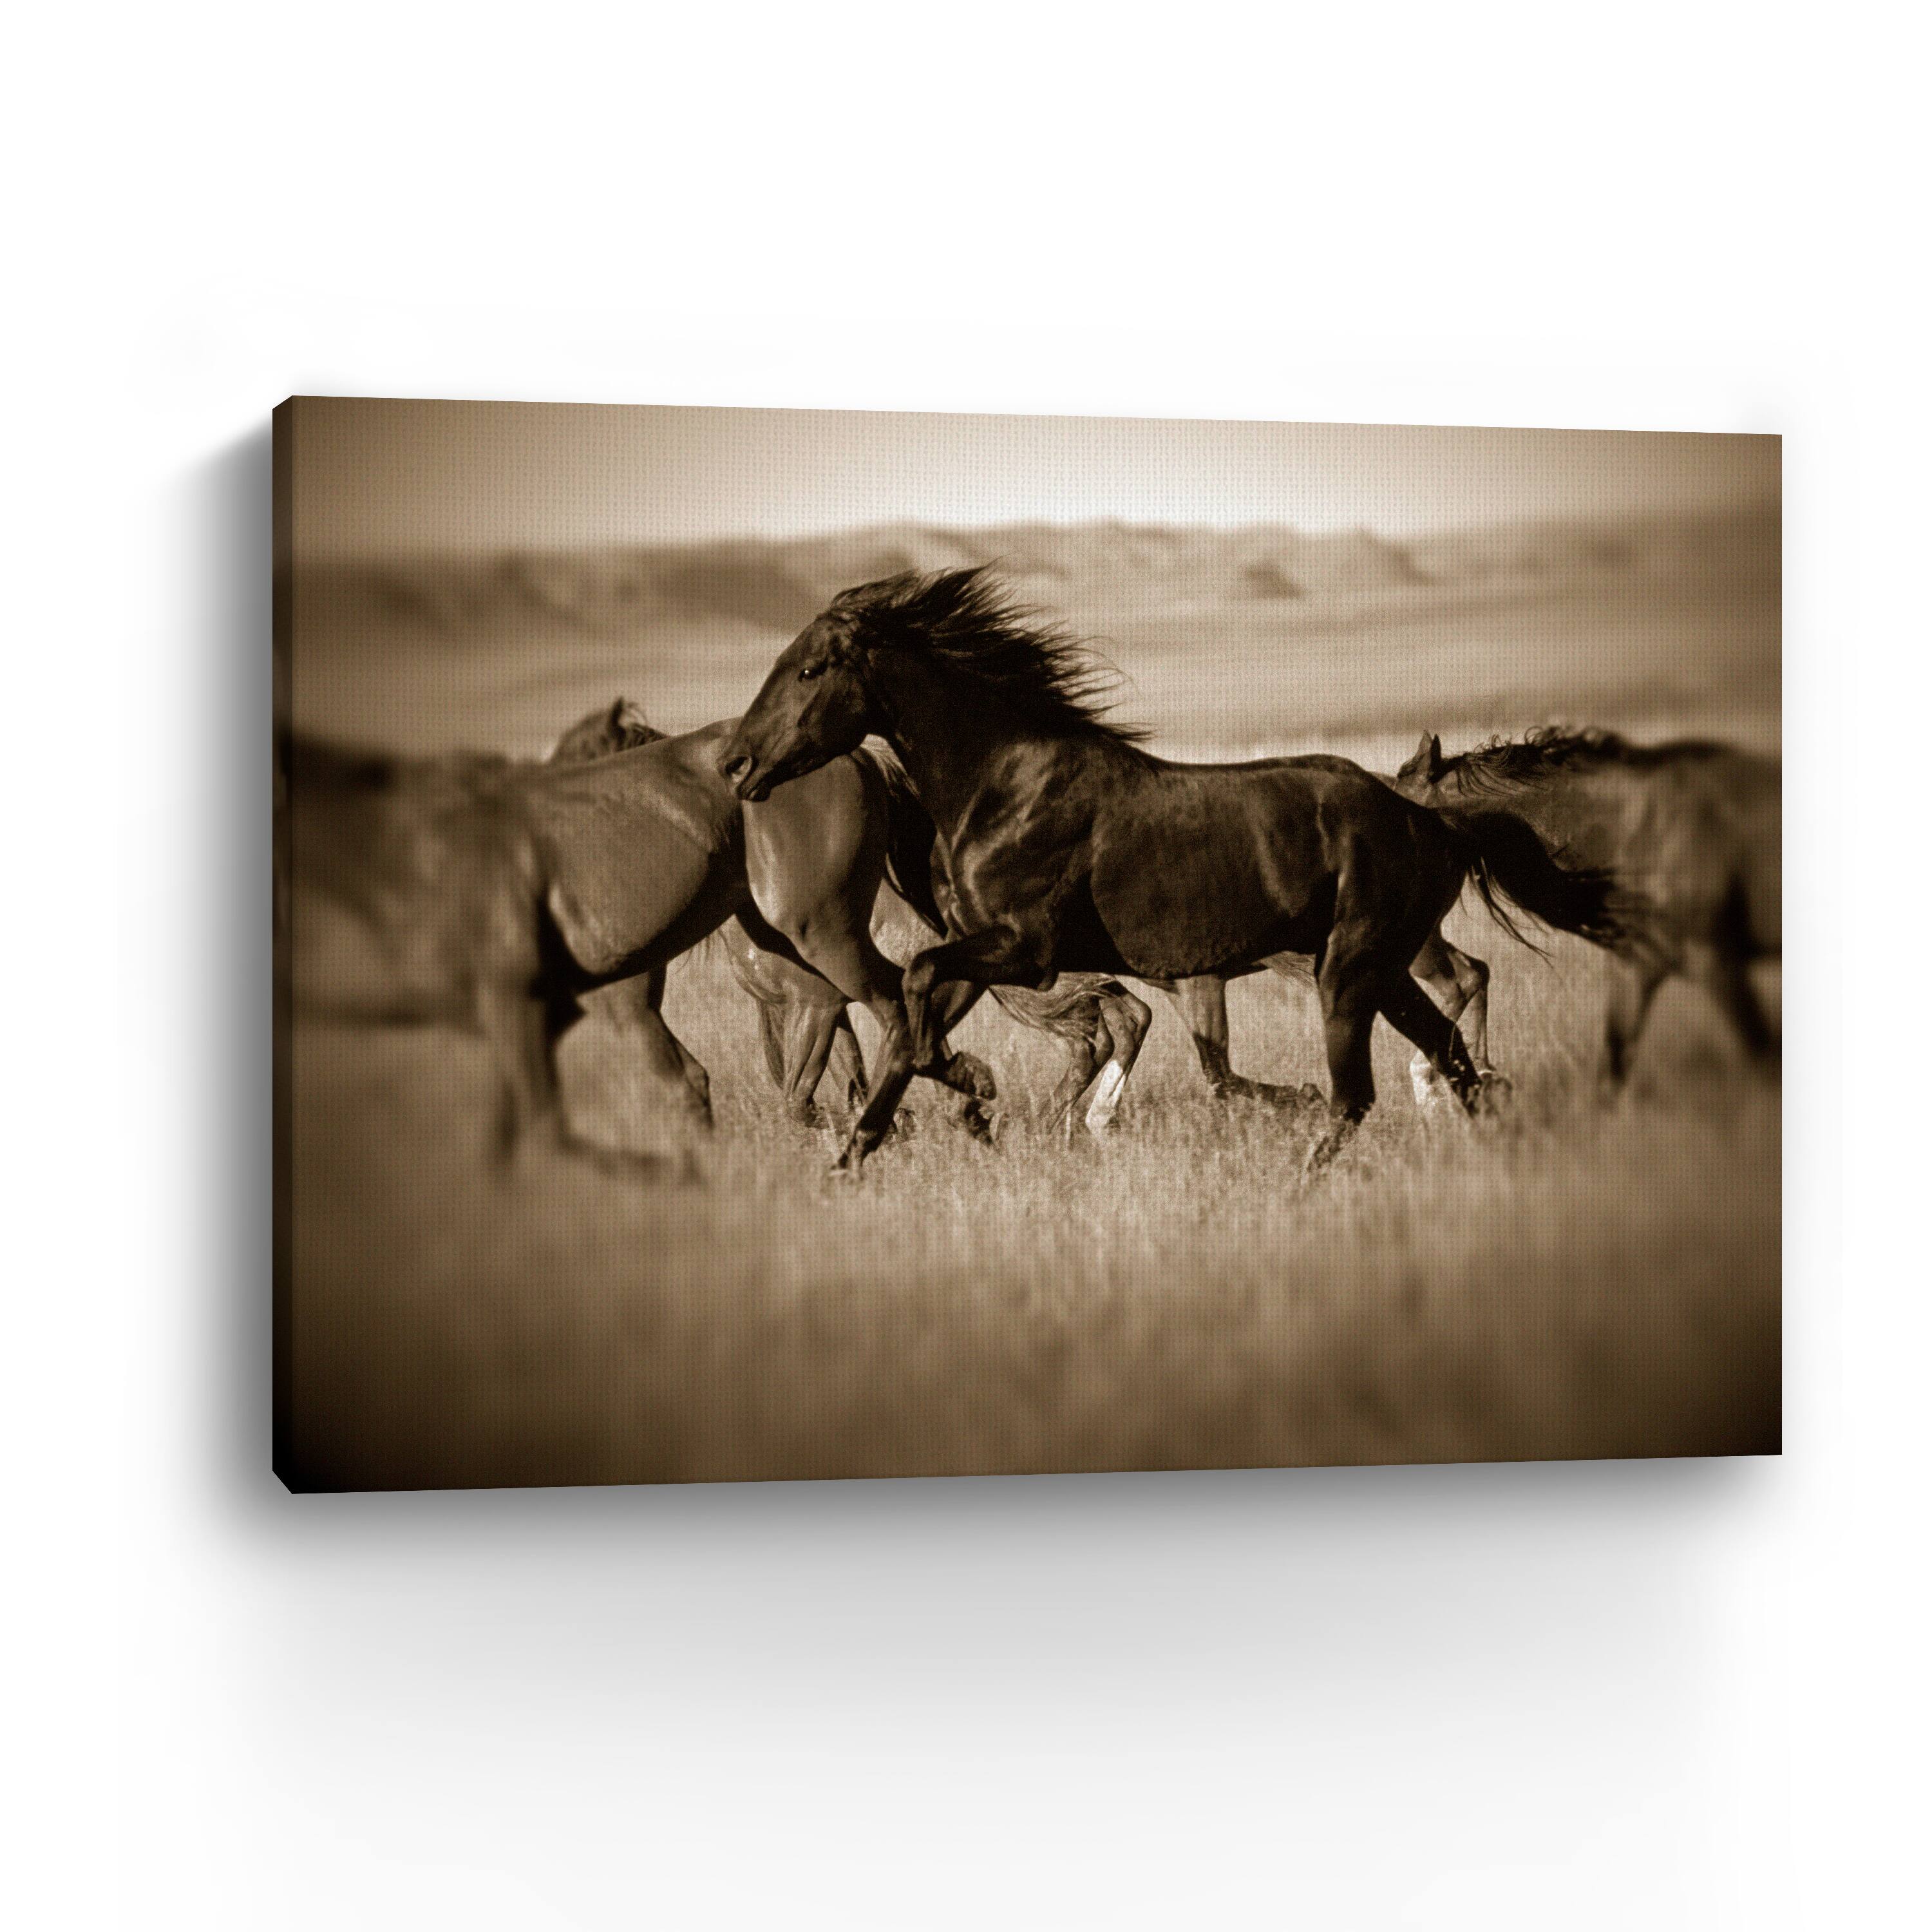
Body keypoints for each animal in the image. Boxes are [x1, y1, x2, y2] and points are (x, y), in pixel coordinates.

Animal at [718, 567, 1632, 1173]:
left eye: (809, 669)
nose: (735, 763)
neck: (1002, 783)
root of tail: (1432, 816)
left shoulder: (1026, 952)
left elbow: (913, 991)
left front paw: (963, 1099)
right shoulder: (987, 955)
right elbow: (909, 1028)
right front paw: (864, 1149)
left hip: (1349, 969)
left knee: (1362, 1092)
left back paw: (1303, 1182)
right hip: (1382, 967)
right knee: (1447, 1051)